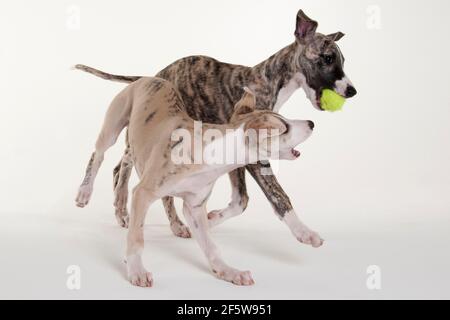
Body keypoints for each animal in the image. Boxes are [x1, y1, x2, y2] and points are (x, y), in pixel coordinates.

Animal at [74, 9, 356, 245]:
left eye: (342, 60)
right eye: (327, 58)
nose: (352, 91)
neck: (269, 81)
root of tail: (154, 74)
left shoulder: (237, 154)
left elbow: (241, 200)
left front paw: (210, 218)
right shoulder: (254, 154)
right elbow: (276, 195)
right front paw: (303, 232)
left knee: (121, 165)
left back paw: (124, 210)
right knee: (116, 160)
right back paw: (97, 196)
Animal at [75, 76, 318, 286]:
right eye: (284, 128)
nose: (311, 123)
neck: (213, 151)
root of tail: (147, 78)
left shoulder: (195, 207)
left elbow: (211, 246)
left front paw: (228, 271)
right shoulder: (144, 193)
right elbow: (137, 237)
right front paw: (136, 270)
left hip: (135, 143)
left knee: (125, 163)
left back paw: (121, 205)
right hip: (113, 125)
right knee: (98, 155)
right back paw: (85, 192)